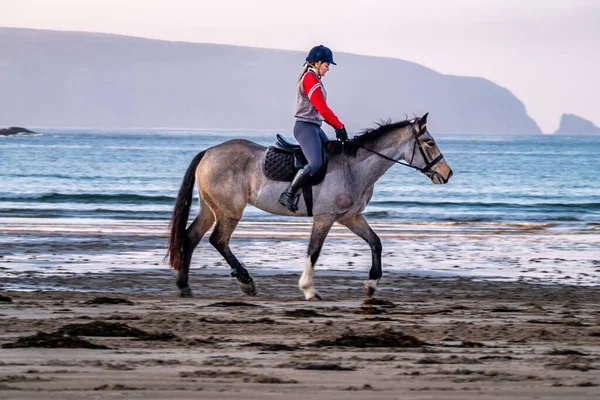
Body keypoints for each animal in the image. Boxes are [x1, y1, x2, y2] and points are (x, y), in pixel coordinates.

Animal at [166, 112, 452, 300]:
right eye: (429, 143)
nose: (447, 174)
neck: (353, 167)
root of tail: (208, 152)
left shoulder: (350, 217)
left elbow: (376, 242)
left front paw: (371, 283)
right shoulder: (325, 217)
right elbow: (313, 252)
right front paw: (309, 289)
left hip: (210, 208)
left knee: (191, 236)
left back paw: (184, 285)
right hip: (230, 211)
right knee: (218, 240)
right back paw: (246, 282)